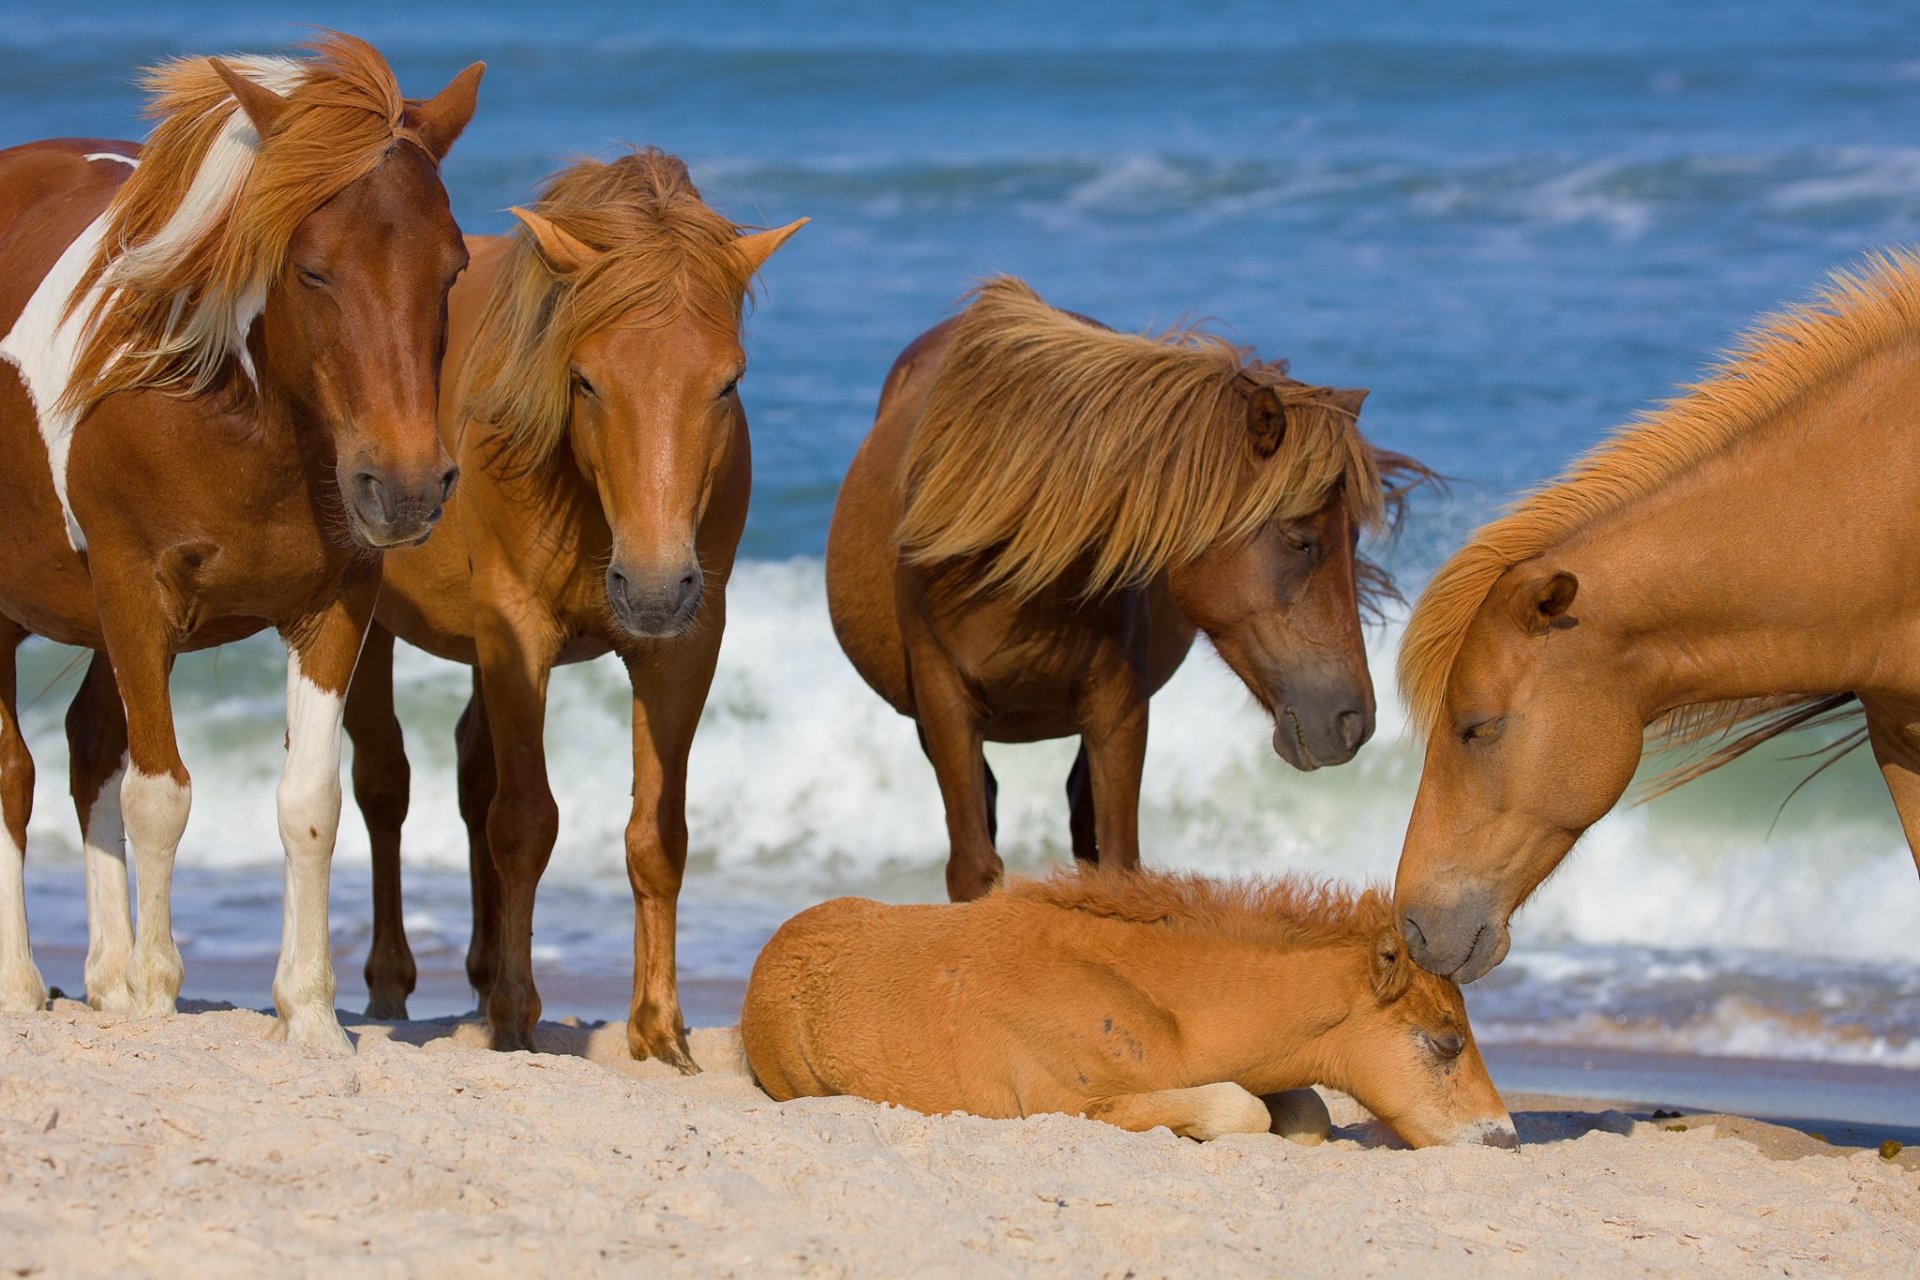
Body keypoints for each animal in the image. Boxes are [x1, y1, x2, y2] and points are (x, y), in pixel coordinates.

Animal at [0, 34, 481, 1054]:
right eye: (313, 270)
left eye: (453, 267)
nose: (407, 489)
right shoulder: (135, 593)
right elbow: (161, 796)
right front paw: (156, 993)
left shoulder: (333, 607)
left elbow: (308, 802)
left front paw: (310, 1015)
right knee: (15, 774)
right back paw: (22, 982)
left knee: (87, 753)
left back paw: (100, 980)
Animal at [341, 147, 806, 1065]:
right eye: (585, 380)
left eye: (728, 383)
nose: (653, 588)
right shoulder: (517, 629)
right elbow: (525, 822)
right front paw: (519, 1017)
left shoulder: (682, 647)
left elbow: (656, 836)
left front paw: (658, 1026)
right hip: (382, 626)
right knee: (385, 785)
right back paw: (394, 982)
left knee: (470, 774)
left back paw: (480, 974)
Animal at [741, 865, 1516, 1148]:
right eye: (1447, 1042)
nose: (1505, 1139)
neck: (1165, 1009)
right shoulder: (1074, 1107)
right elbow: (1241, 1108)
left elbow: (1306, 1113)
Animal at [825, 278, 1426, 901]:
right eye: (1300, 539)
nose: (1354, 722)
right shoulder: (944, 706)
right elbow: (974, 866)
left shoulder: (1119, 707)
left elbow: (1117, 863)